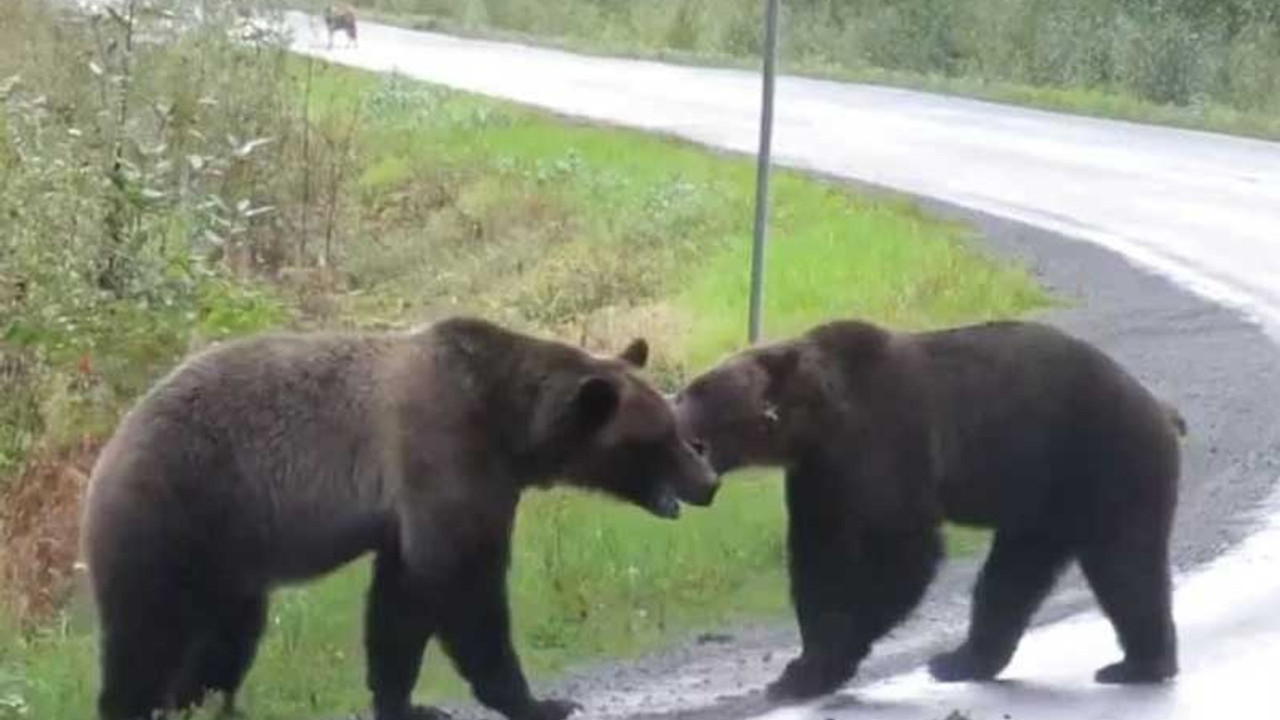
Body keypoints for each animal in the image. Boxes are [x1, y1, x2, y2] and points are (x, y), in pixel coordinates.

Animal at [675, 316, 1182, 696]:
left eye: (695, 389)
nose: (670, 407)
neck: (820, 418)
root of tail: (1160, 406)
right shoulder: (822, 476)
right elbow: (820, 557)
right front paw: (804, 666)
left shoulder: (887, 441)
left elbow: (902, 551)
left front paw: (823, 662)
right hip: (1045, 503)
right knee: (1013, 577)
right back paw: (964, 659)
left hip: (1105, 460)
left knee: (1125, 563)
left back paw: (1139, 664)